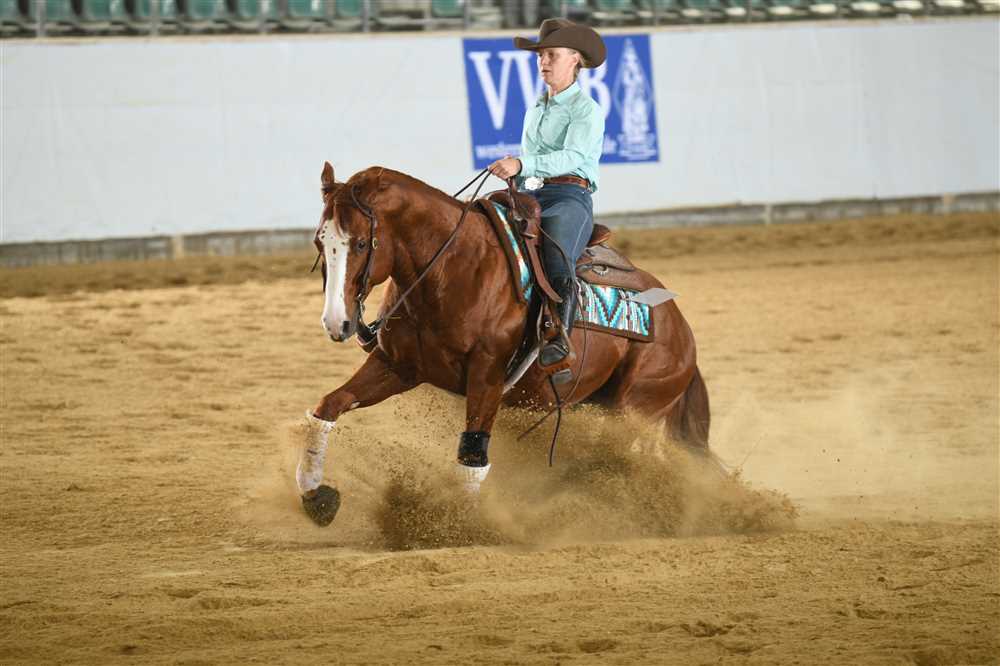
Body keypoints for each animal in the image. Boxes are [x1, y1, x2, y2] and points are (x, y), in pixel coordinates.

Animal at [296, 162, 711, 526]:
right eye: (320, 241)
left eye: (360, 243)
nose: (337, 323)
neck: (452, 269)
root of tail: (680, 327)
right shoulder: (397, 366)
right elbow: (328, 406)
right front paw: (315, 495)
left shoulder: (487, 376)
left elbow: (472, 455)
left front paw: (461, 529)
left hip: (635, 406)